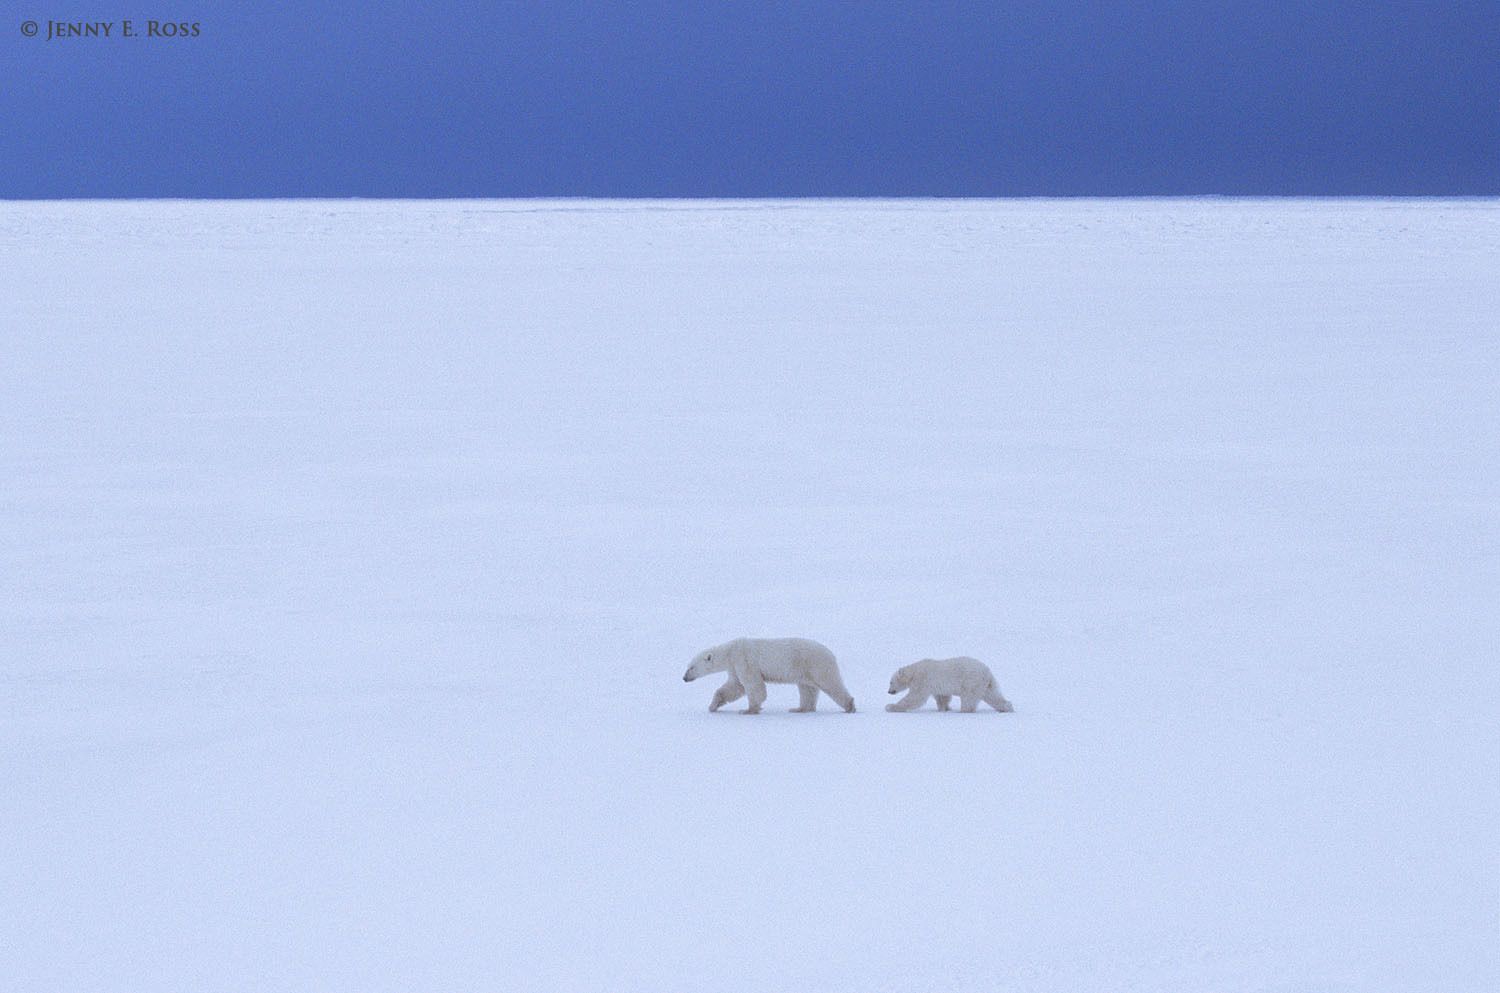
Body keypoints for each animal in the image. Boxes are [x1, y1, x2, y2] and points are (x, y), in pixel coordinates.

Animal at [683, 637, 855, 714]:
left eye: (691, 667)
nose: (684, 678)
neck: (730, 651)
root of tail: (831, 653)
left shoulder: (744, 659)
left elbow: (754, 685)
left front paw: (748, 710)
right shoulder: (734, 667)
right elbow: (734, 687)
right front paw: (713, 706)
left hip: (816, 664)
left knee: (830, 683)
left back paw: (849, 706)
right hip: (804, 670)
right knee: (807, 689)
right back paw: (799, 708)